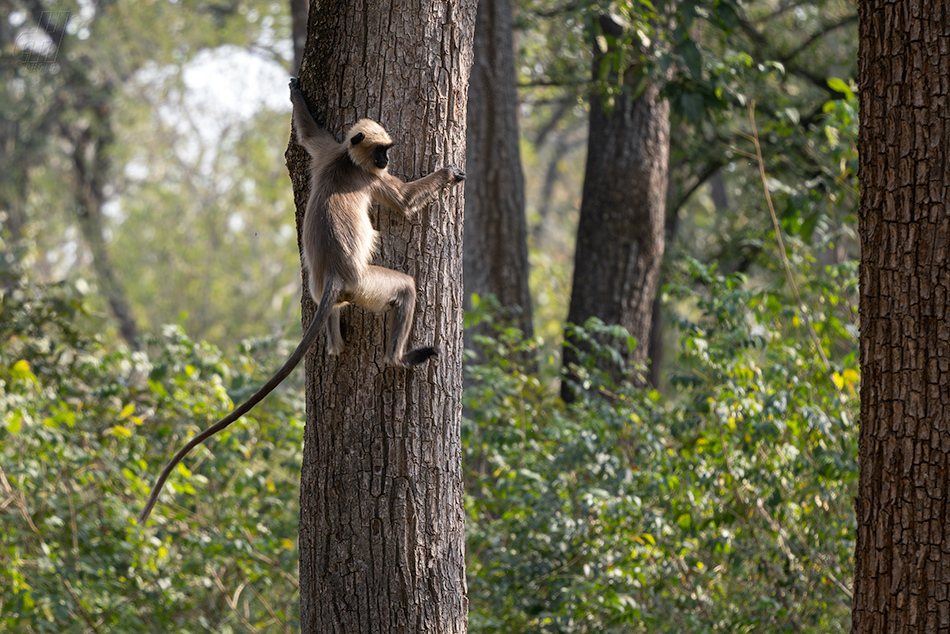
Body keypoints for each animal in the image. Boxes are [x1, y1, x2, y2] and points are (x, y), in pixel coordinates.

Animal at [139, 76, 468, 520]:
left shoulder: (328, 152)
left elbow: (311, 136)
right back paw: (397, 358)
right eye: (382, 151)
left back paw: (333, 340)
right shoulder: (370, 179)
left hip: (322, 285)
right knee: (404, 289)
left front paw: (295, 91)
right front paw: (448, 173)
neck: (348, 160)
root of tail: (335, 276)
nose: (385, 160)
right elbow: (403, 204)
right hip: (367, 284)